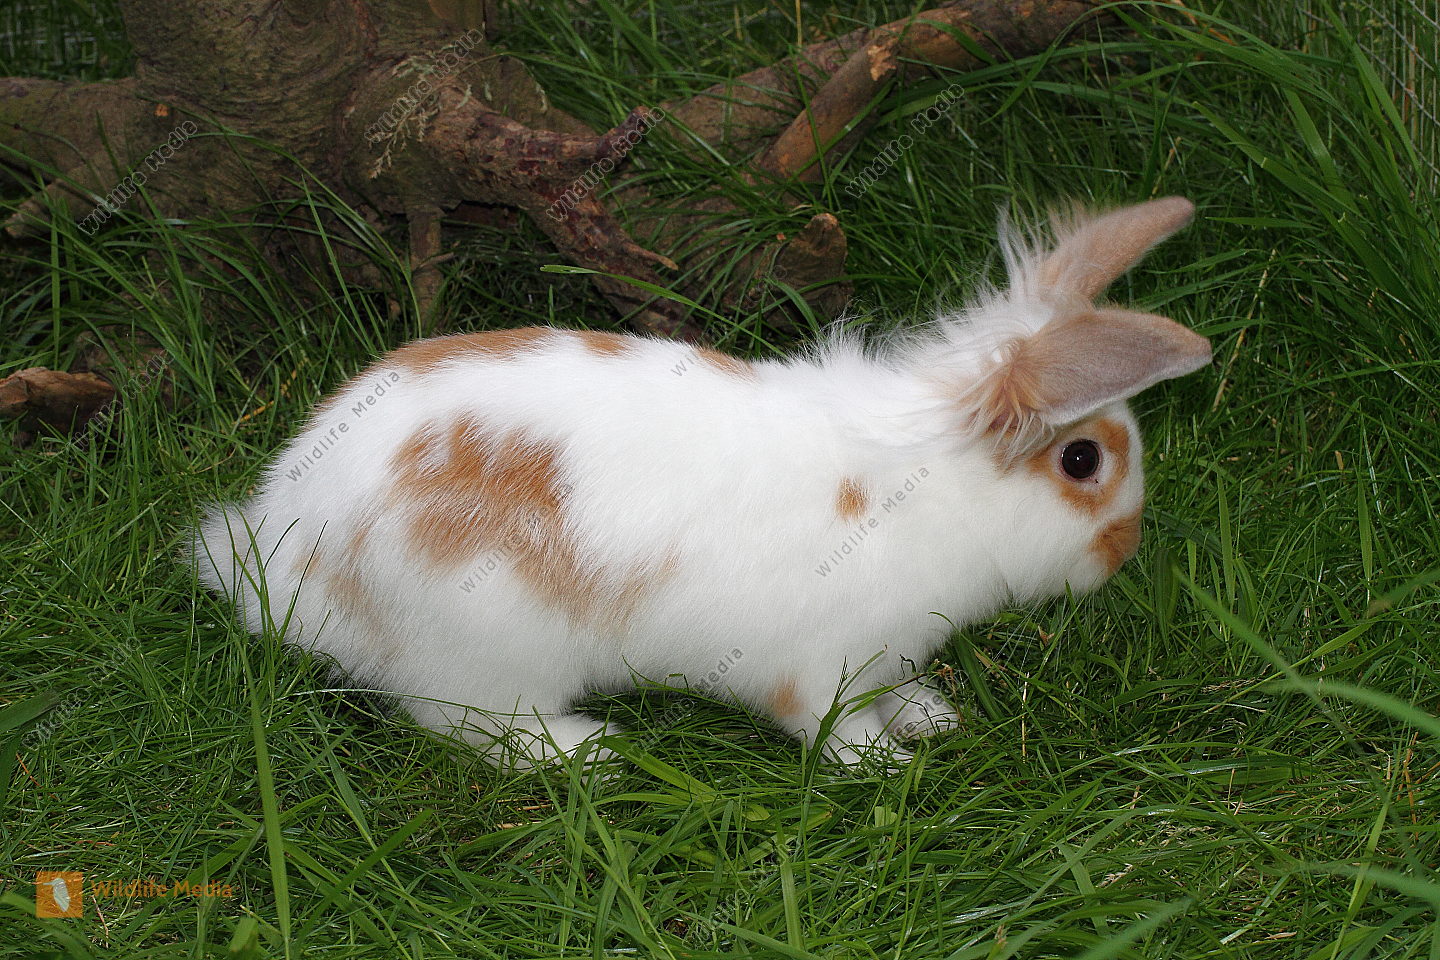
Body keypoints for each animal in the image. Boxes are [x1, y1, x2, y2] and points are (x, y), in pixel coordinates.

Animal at [193, 196, 1211, 768]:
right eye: (1083, 462)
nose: (1125, 551)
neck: (936, 491)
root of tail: (285, 559)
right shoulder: (817, 664)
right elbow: (830, 726)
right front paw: (885, 766)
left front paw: (930, 717)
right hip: (483, 654)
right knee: (466, 725)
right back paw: (586, 752)